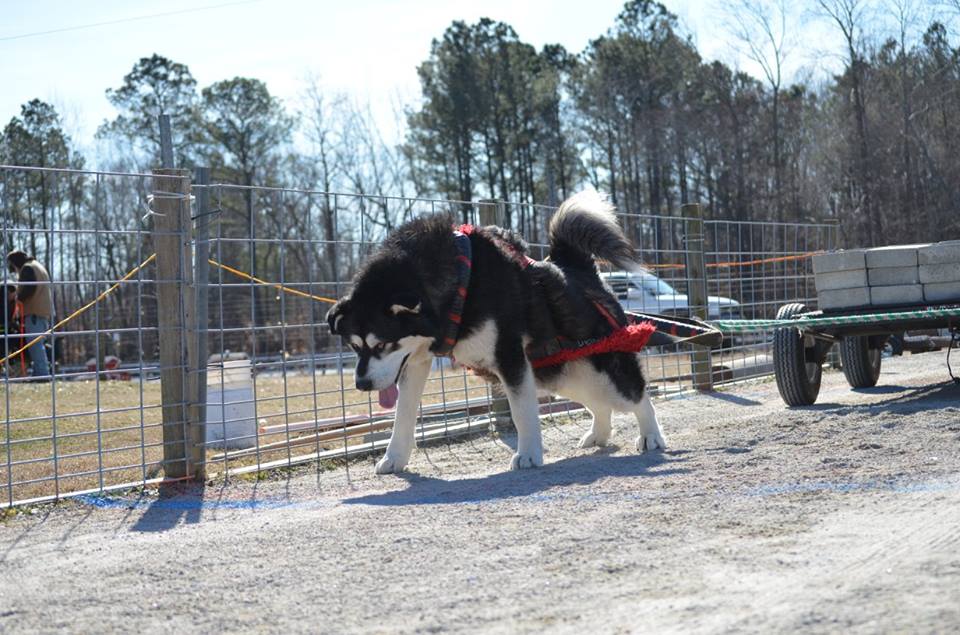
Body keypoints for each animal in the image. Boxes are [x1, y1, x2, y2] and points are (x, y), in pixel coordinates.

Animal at [326, 191, 664, 474]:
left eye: (382, 344)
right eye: (354, 347)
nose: (361, 384)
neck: (460, 284)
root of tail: (575, 266)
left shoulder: (510, 357)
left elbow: (522, 412)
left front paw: (528, 454)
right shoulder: (415, 362)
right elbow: (403, 415)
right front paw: (394, 457)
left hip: (601, 366)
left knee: (636, 395)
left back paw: (651, 436)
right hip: (562, 372)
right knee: (599, 402)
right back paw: (599, 434)